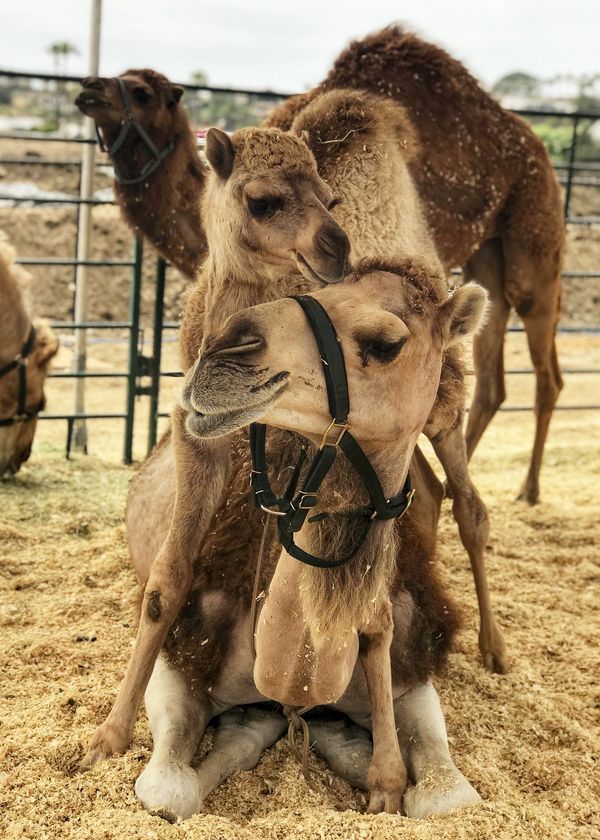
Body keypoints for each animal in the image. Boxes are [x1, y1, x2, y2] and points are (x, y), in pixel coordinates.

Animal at [76, 27, 564, 504]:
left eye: (142, 93)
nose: (89, 88)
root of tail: (529, 138)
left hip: (535, 236)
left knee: (545, 371)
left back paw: (528, 488)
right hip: (487, 261)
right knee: (489, 381)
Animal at [133, 263, 487, 819]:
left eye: (386, 343)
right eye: (321, 291)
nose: (223, 349)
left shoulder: (411, 676)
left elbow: (447, 797)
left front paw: (374, 772)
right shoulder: (183, 656)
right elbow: (170, 792)